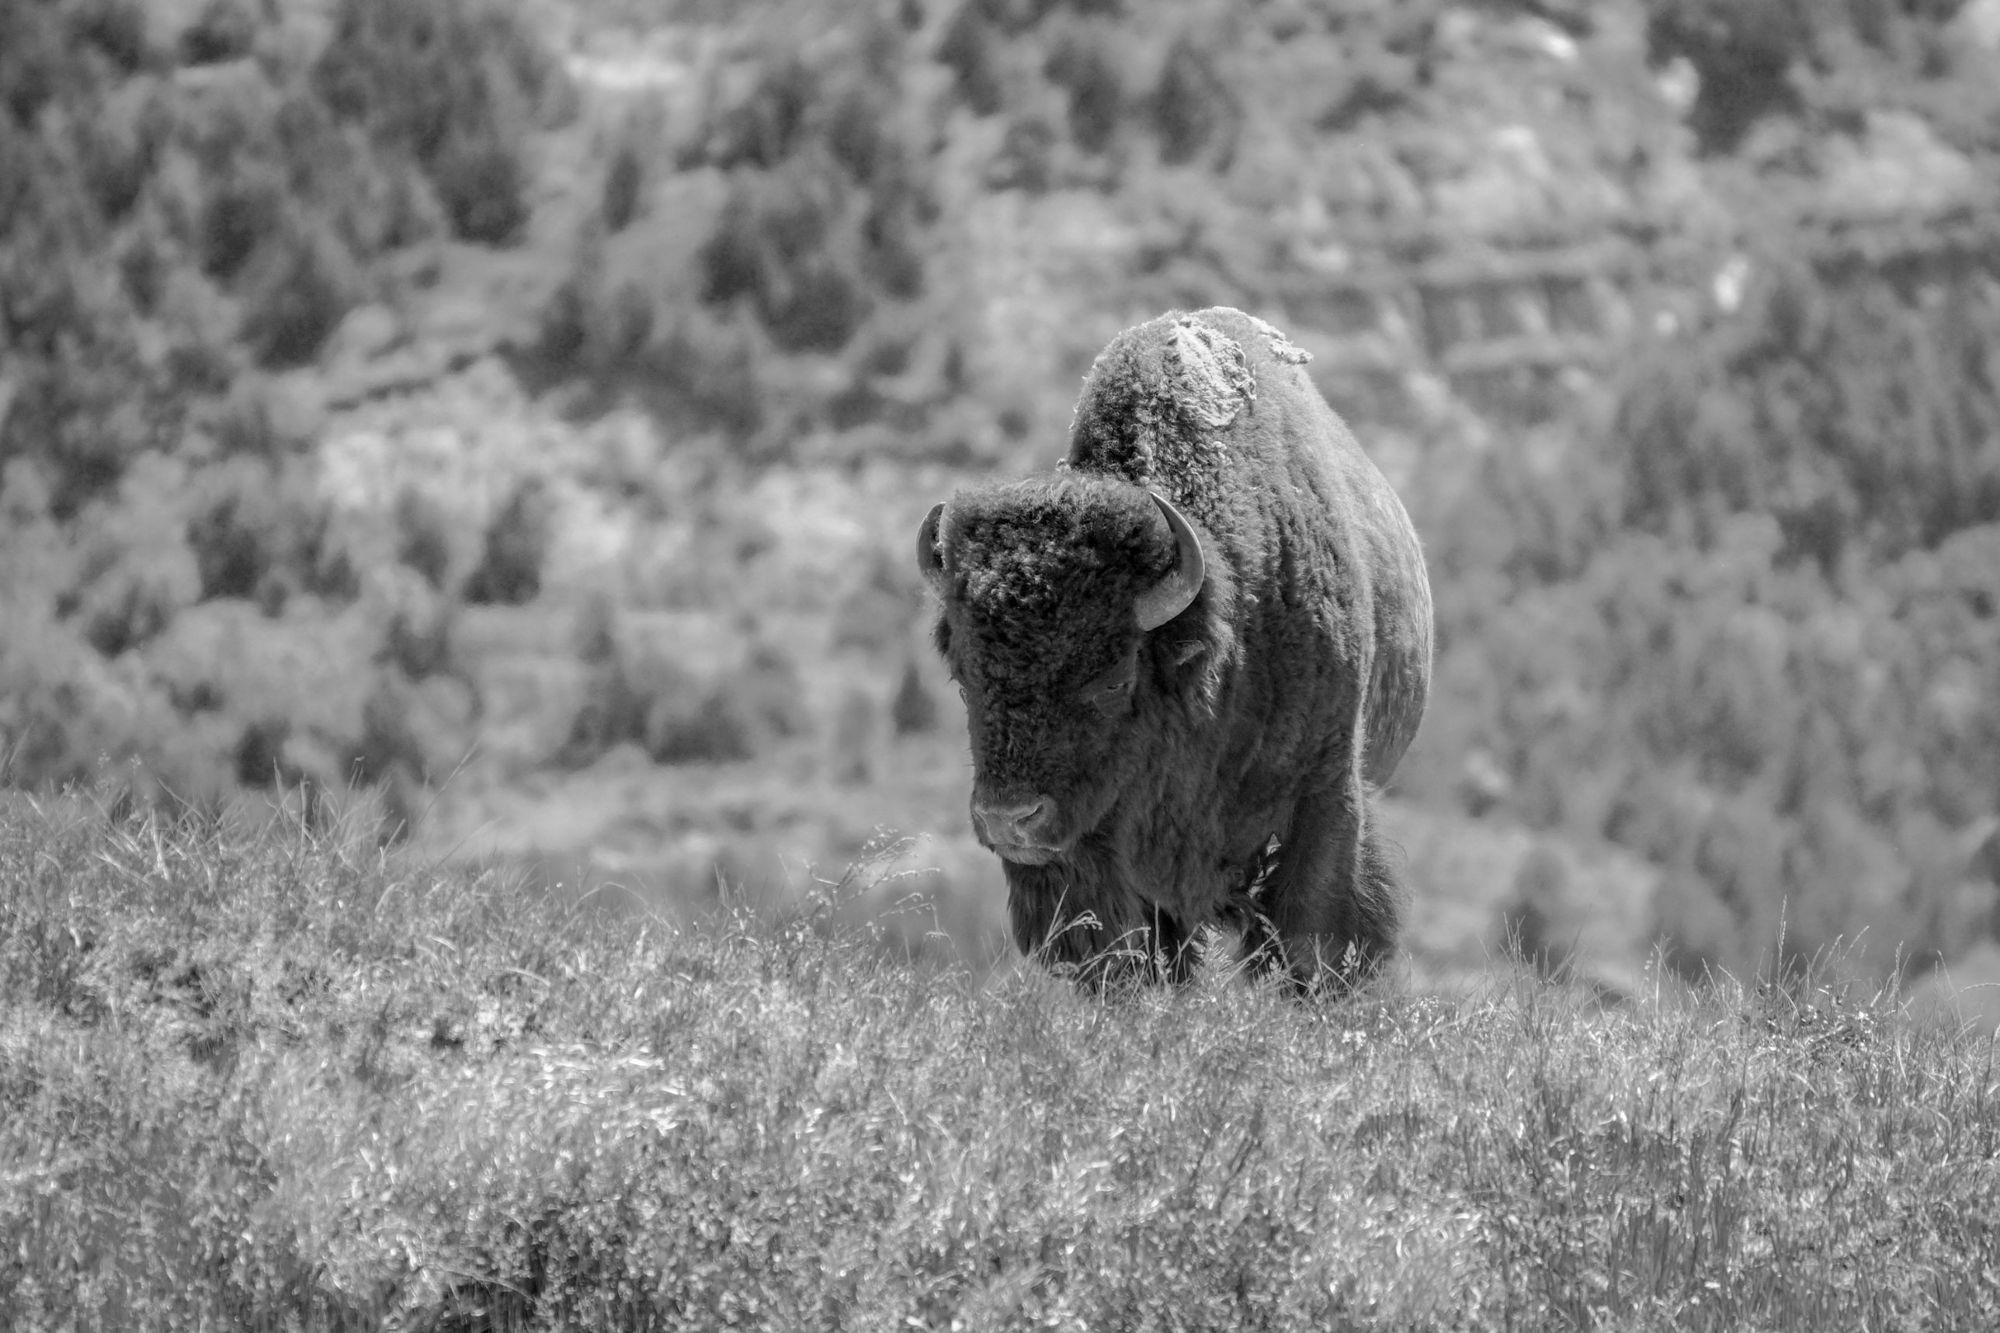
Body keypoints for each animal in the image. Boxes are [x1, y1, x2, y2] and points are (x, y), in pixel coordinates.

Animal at [917, 307, 1432, 990]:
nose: (1009, 819)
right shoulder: (1092, 858)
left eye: (1113, 679)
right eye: (965, 678)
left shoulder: (1324, 799)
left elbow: (1311, 939)